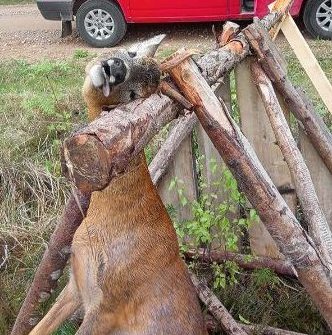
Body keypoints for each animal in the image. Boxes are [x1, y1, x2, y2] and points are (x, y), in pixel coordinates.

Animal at [30, 34, 208, 335]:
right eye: (131, 53)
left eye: (133, 95)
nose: (115, 68)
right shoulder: (77, 283)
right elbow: (37, 328)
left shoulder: (109, 305)